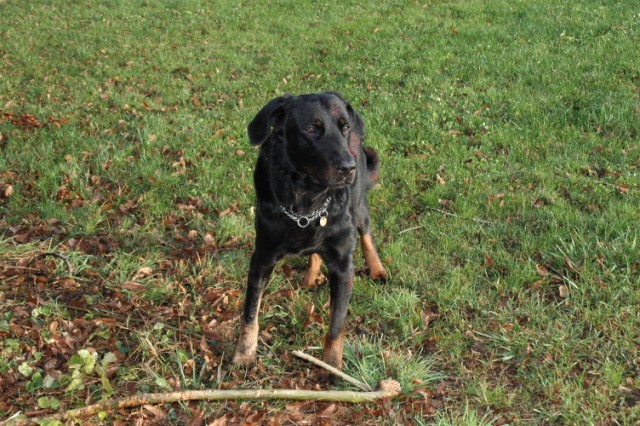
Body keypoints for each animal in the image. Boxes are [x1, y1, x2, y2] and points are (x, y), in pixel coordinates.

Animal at [232, 90, 388, 370]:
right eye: (311, 129)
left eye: (344, 127)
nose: (348, 167)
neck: (307, 200)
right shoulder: (261, 258)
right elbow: (250, 312)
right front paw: (244, 353)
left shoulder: (343, 265)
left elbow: (337, 324)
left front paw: (331, 366)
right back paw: (310, 275)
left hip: (359, 203)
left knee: (367, 232)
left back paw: (377, 268)